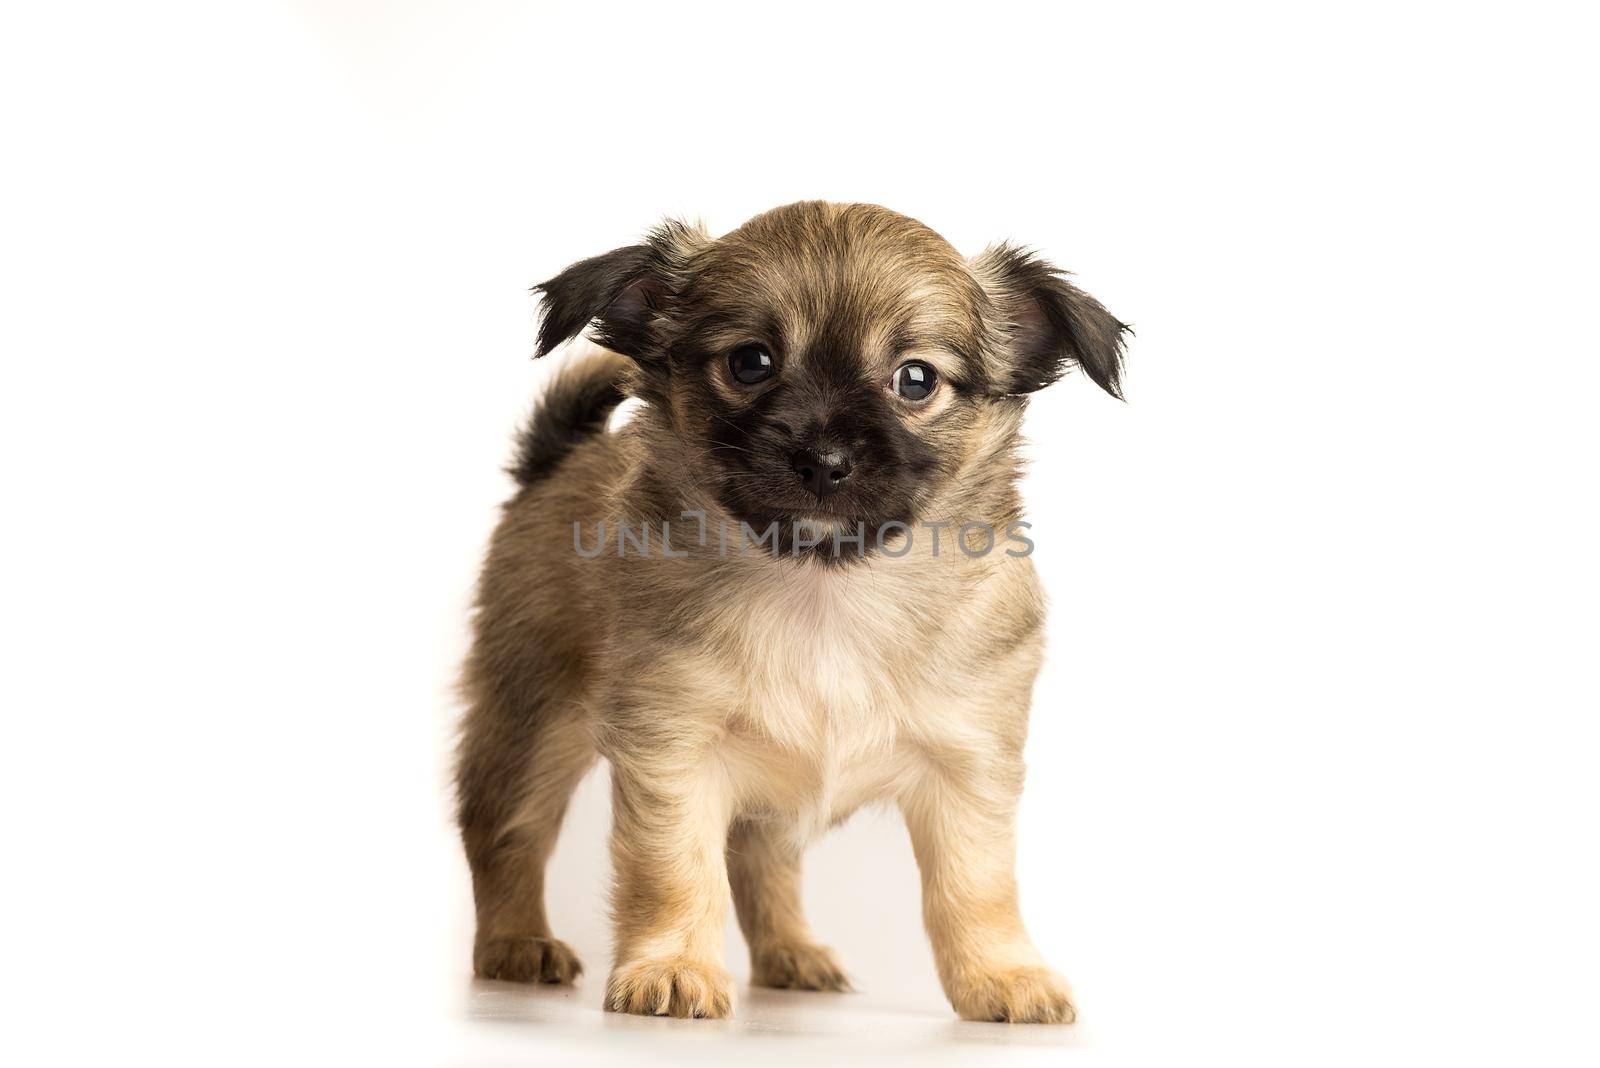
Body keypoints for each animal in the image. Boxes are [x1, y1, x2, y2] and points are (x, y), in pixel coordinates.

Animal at [451, 202, 1126, 1023]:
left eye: (916, 379)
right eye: (751, 363)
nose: (823, 458)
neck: (823, 593)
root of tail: (557, 461)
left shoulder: (968, 765)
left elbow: (975, 885)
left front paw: (1001, 975)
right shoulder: (674, 749)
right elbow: (675, 868)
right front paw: (674, 965)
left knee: (760, 862)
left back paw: (790, 953)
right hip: (534, 722)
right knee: (506, 834)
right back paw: (515, 943)